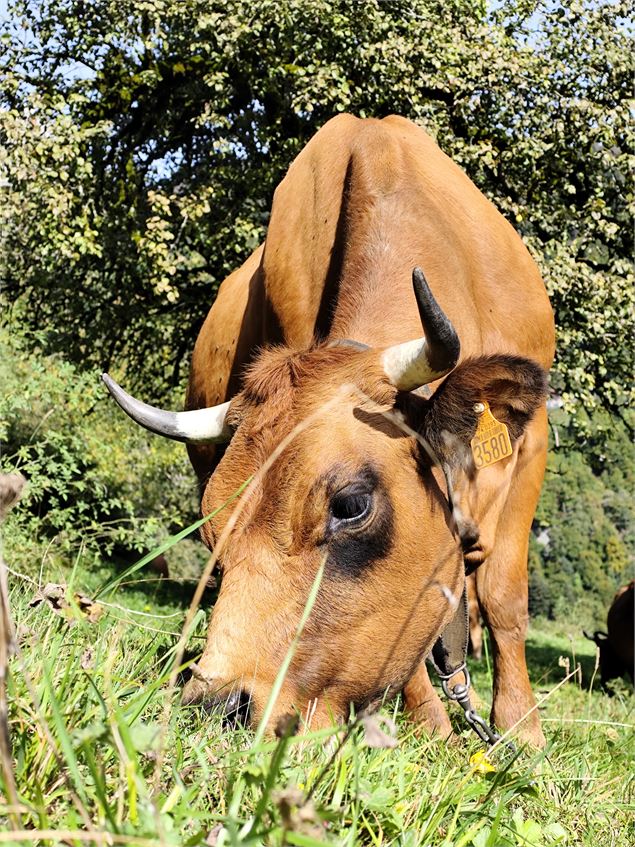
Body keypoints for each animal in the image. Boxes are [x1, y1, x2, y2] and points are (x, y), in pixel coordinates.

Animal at [104, 115, 554, 746]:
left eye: (350, 505)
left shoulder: (532, 440)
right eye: (211, 528)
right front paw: (431, 728)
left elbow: (505, 598)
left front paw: (521, 730)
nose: (218, 704)